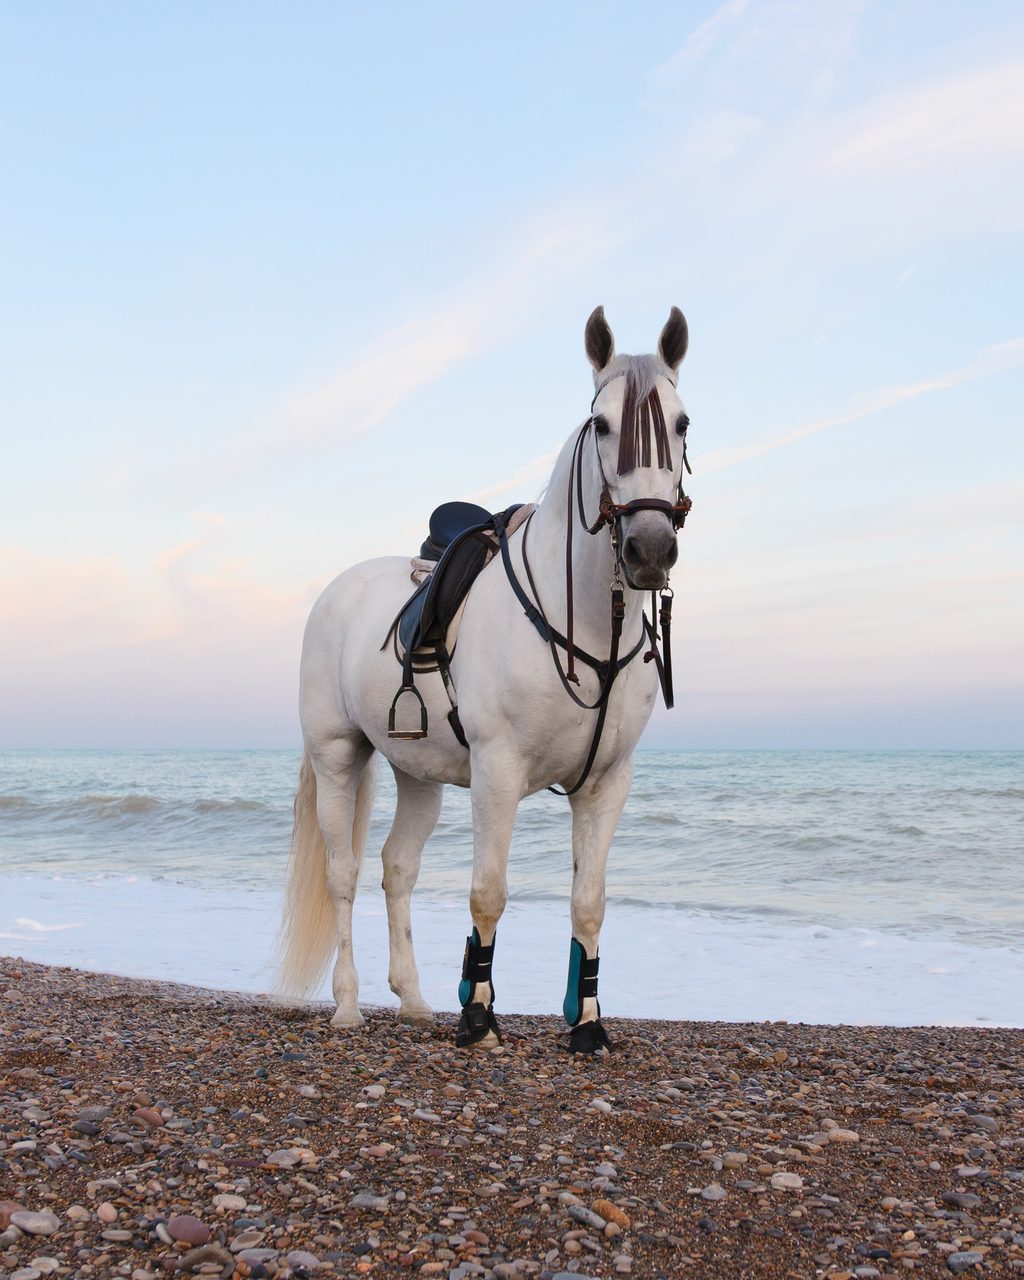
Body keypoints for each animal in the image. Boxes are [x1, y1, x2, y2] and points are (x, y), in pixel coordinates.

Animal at [276, 305, 692, 1053]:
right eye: (603, 423)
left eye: (681, 423)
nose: (650, 550)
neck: (586, 621)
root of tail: (338, 590)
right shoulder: (498, 773)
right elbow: (488, 892)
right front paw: (478, 1016)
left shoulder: (607, 783)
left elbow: (589, 903)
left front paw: (587, 1023)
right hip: (337, 756)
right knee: (343, 874)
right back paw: (348, 1004)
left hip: (417, 775)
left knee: (397, 868)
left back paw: (413, 1000)